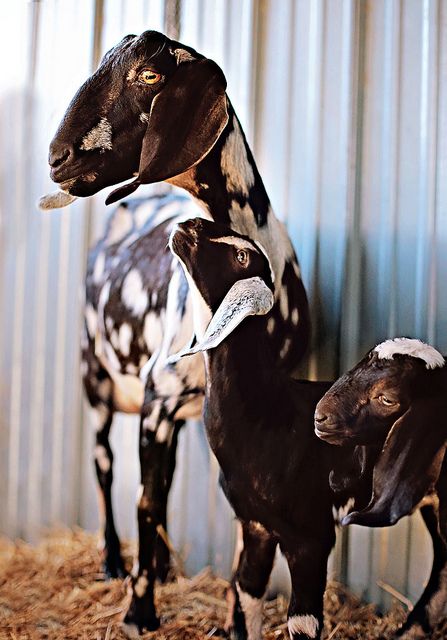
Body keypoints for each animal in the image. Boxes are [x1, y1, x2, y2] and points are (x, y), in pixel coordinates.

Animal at [43, 31, 314, 636]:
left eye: (149, 76)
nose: (56, 158)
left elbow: (238, 519)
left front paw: (235, 621)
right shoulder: (156, 398)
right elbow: (144, 501)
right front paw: (139, 613)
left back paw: (163, 565)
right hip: (96, 377)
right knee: (106, 467)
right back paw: (115, 562)